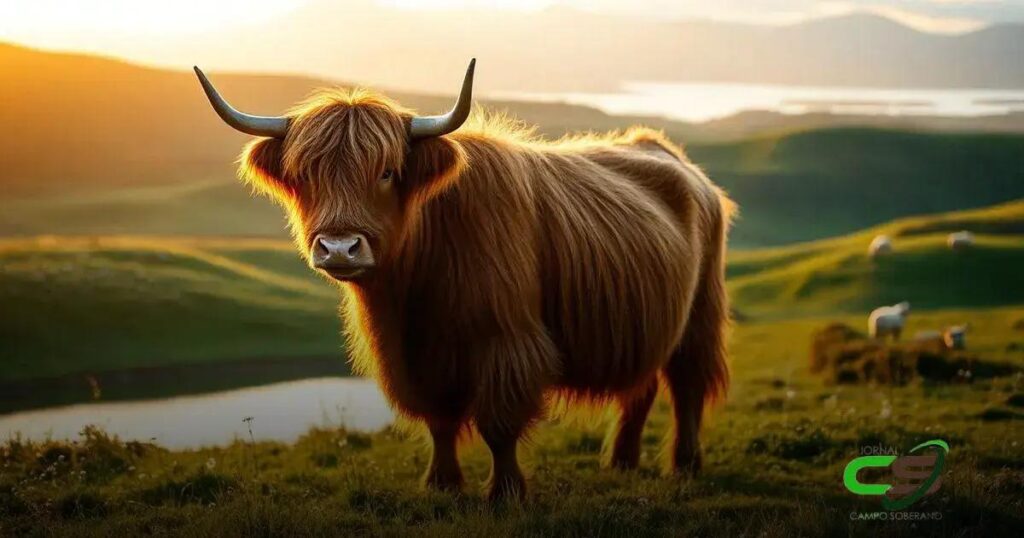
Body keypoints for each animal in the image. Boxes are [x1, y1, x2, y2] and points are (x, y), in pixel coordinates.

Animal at [195, 60, 734, 501]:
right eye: (305, 175)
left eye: (387, 172)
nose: (340, 247)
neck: (414, 292)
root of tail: (671, 156)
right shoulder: (413, 358)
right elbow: (439, 419)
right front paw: (442, 484)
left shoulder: (507, 342)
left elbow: (499, 424)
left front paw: (505, 493)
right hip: (644, 323)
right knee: (640, 388)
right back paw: (621, 462)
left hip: (700, 313)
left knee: (687, 384)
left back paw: (684, 466)